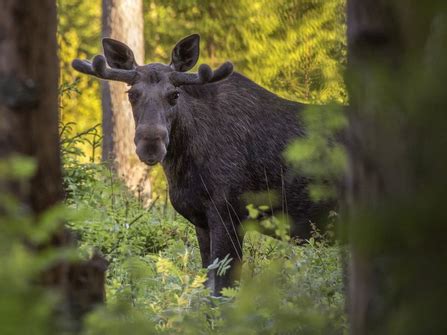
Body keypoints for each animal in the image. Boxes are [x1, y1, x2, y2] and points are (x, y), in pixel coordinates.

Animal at [72, 34, 332, 296]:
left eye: (174, 95)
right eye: (131, 94)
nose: (150, 144)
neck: (183, 168)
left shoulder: (230, 213)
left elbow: (222, 291)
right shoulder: (202, 220)